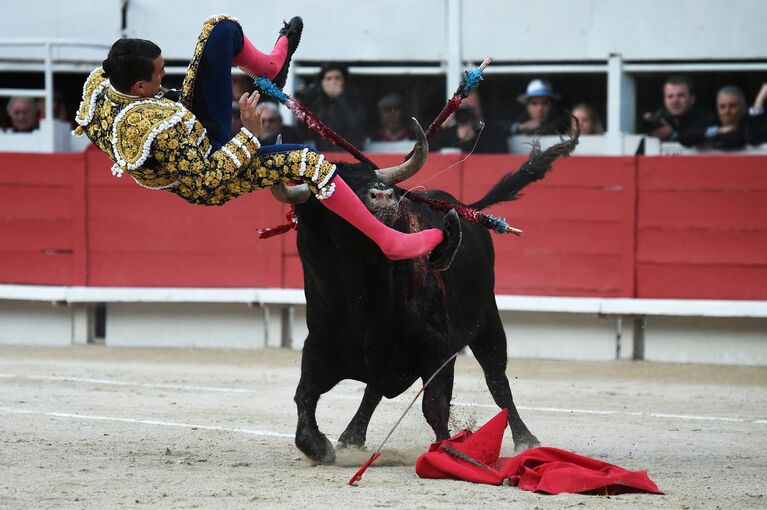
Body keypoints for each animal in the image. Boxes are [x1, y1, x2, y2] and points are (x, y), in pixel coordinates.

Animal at [272, 121, 580, 464]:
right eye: (331, 191)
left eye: (377, 179)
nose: (382, 195)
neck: (362, 293)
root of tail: (468, 209)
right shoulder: (318, 348)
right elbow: (304, 397)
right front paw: (321, 447)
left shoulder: (438, 351)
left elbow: (434, 406)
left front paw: (450, 451)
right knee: (373, 390)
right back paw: (351, 437)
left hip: (488, 322)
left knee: (497, 381)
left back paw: (526, 440)